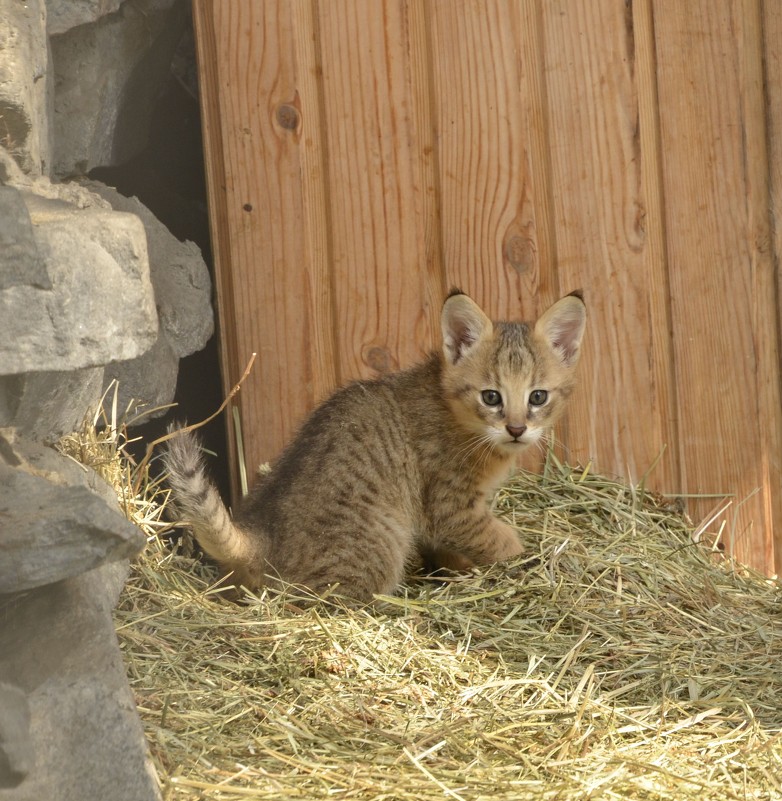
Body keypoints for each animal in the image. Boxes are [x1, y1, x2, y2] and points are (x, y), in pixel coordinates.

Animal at [162, 288, 584, 600]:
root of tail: (261, 535)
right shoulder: (452, 508)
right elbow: (499, 540)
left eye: (538, 397)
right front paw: (525, 561)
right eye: (492, 397)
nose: (516, 429)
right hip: (383, 539)